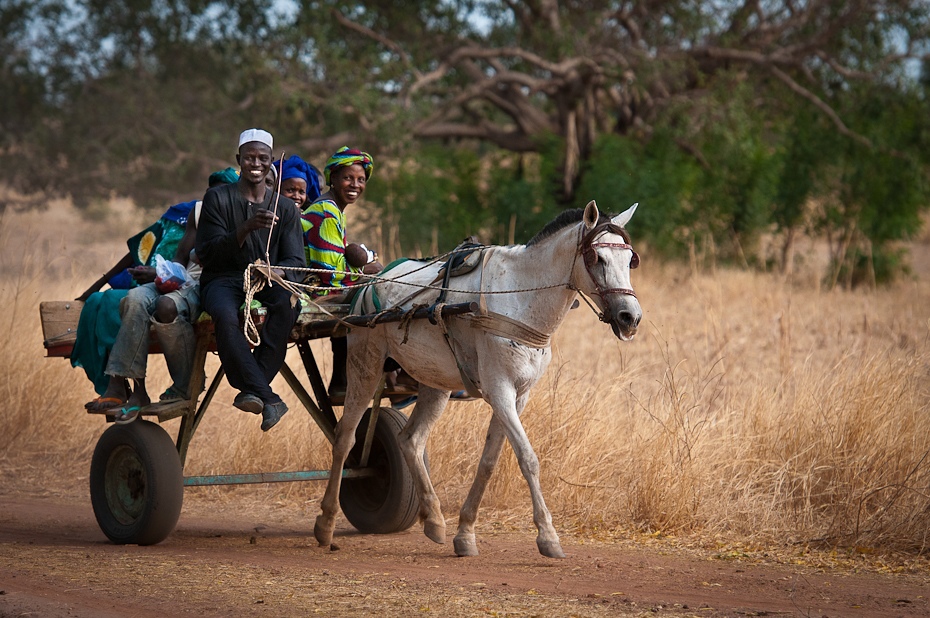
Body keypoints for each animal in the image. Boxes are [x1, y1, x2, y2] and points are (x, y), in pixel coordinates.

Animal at [316, 200, 640, 556]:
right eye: (598, 258)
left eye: (630, 260)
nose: (631, 317)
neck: (520, 299)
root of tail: (368, 284)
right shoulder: (500, 390)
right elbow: (528, 458)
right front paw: (547, 536)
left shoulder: (519, 395)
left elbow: (488, 461)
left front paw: (465, 532)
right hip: (366, 364)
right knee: (345, 437)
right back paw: (326, 523)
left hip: (435, 382)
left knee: (411, 440)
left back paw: (434, 518)